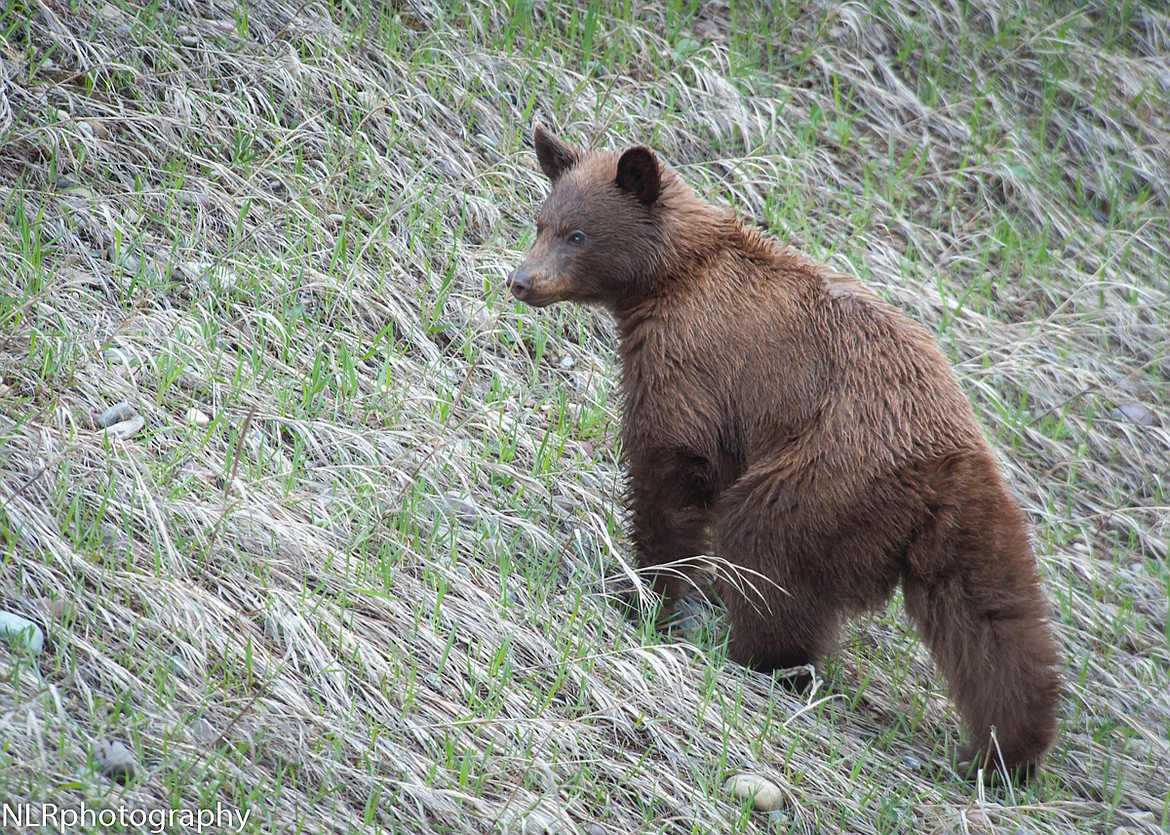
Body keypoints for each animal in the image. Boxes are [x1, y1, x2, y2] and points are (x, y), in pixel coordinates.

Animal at [510, 125, 1062, 781]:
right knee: (993, 619)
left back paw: (757, 656)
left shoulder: (690, 357)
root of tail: (946, 460)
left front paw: (647, 590)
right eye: (541, 221)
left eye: (578, 234)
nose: (521, 280)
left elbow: (670, 463)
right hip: (957, 525)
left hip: (819, 479)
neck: (673, 274)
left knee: (768, 557)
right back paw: (1008, 750)